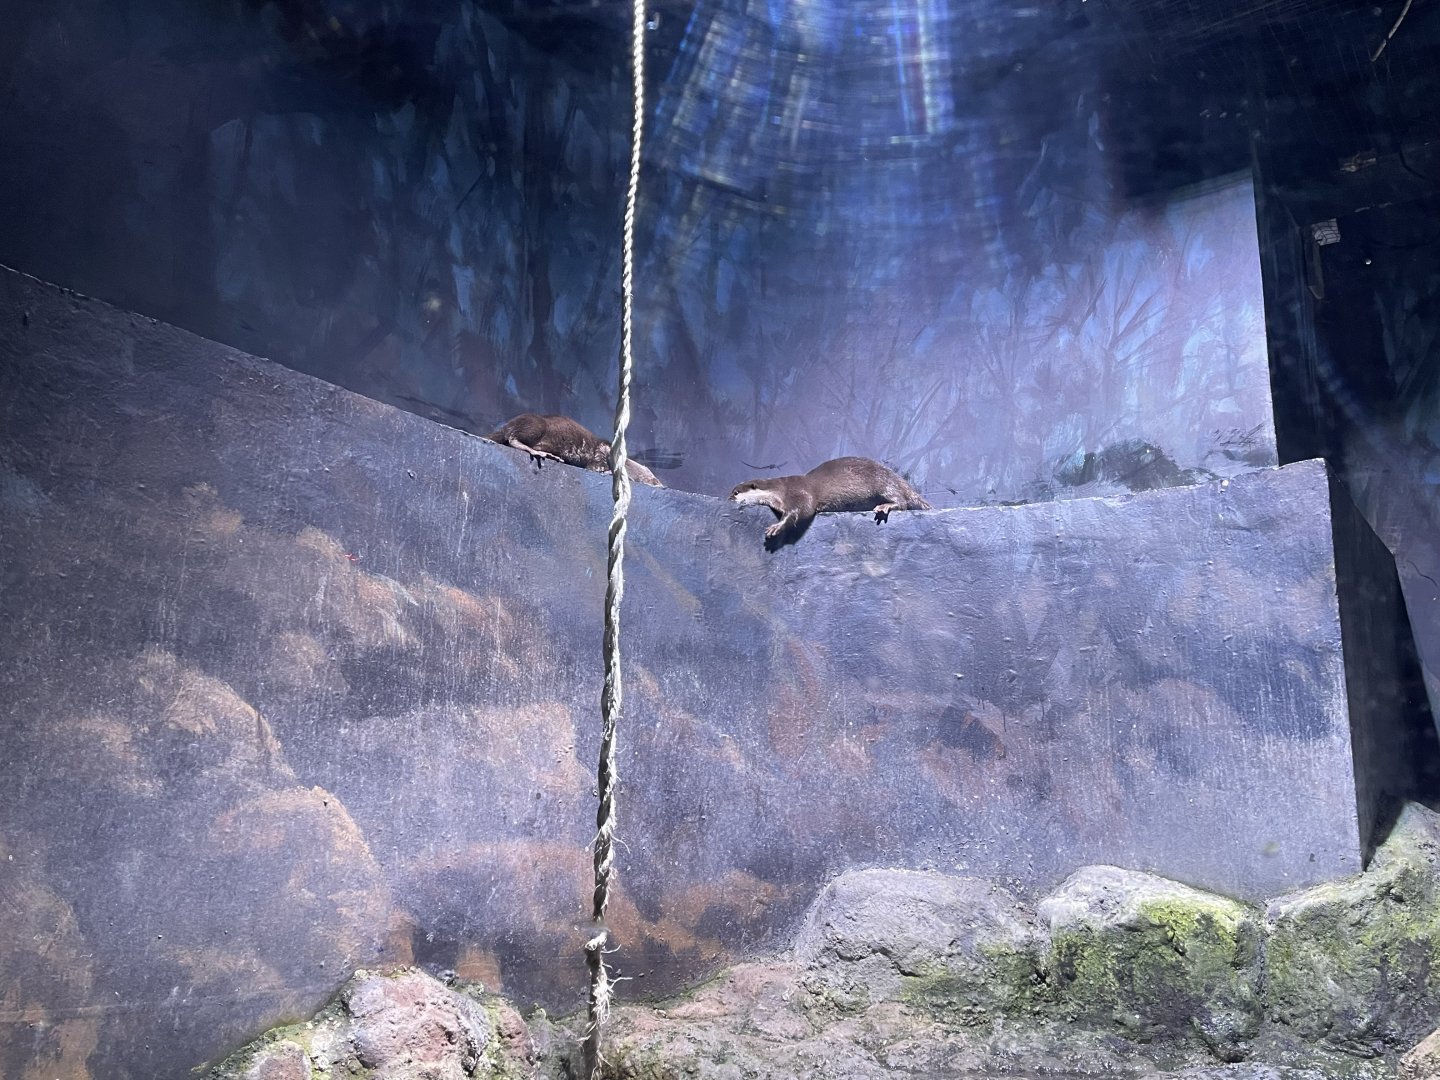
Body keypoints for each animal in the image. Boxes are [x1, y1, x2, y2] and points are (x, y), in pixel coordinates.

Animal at [486, 413, 663, 487]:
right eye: (654, 480)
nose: (662, 485)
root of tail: (505, 427)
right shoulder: (600, 456)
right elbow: (596, 468)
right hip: (534, 425)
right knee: (512, 438)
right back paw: (542, 453)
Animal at [729, 456, 930, 548]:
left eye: (736, 492)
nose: (729, 498)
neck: (779, 490)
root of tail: (899, 479)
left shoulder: (798, 493)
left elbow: (802, 510)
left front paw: (777, 527)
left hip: (884, 483)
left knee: (902, 502)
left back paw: (884, 507)